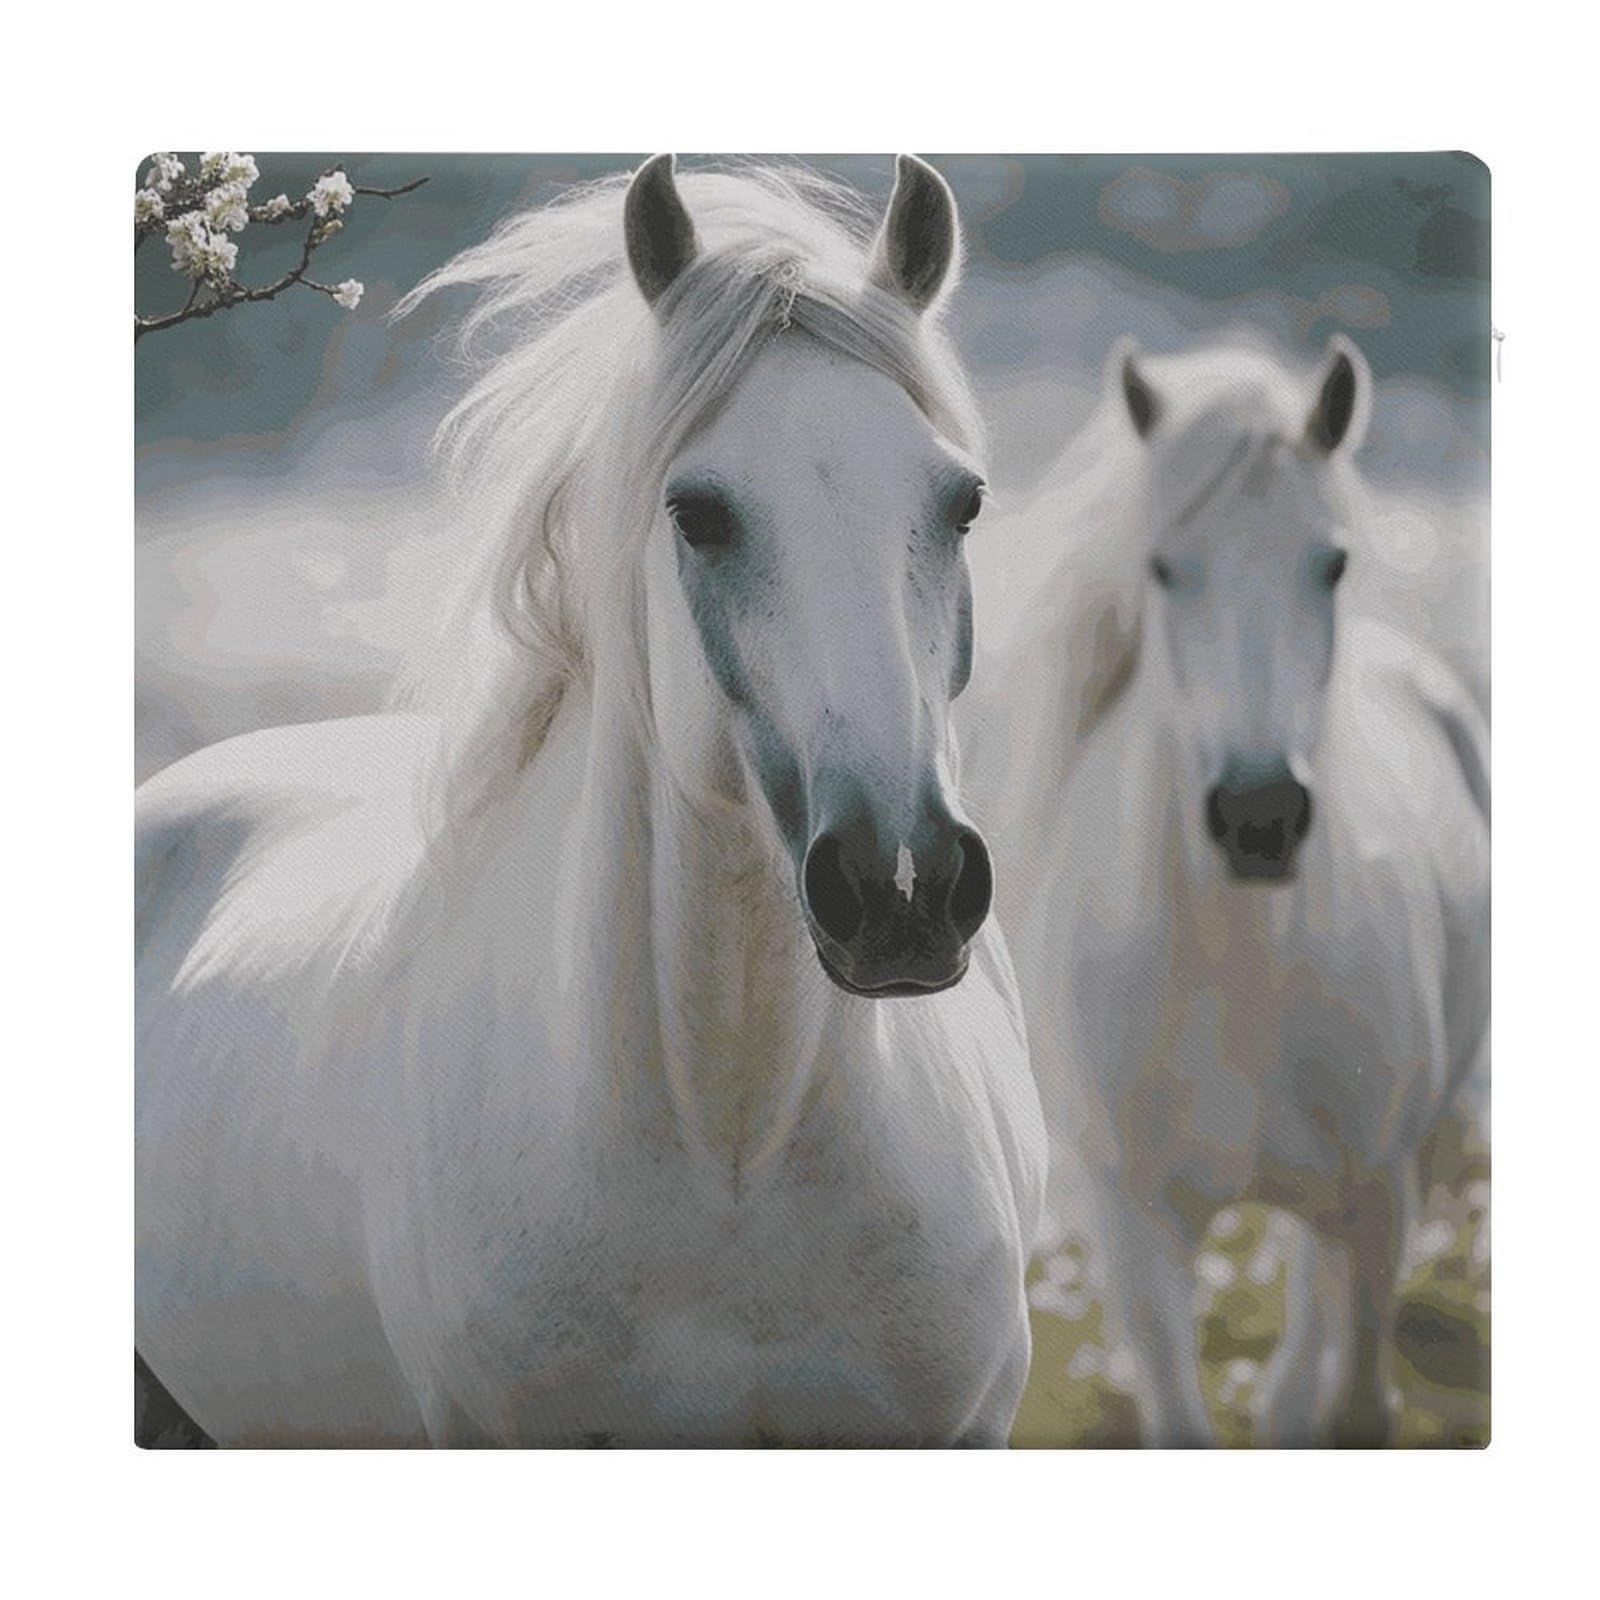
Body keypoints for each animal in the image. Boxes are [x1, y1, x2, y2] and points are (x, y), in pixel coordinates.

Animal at [961, 336, 1488, 1445]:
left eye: (1332, 563)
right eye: (1165, 567)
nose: (1259, 817)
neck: (1237, 972)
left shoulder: (1379, 1201)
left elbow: (1357, 1404)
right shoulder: (1136, 1231)